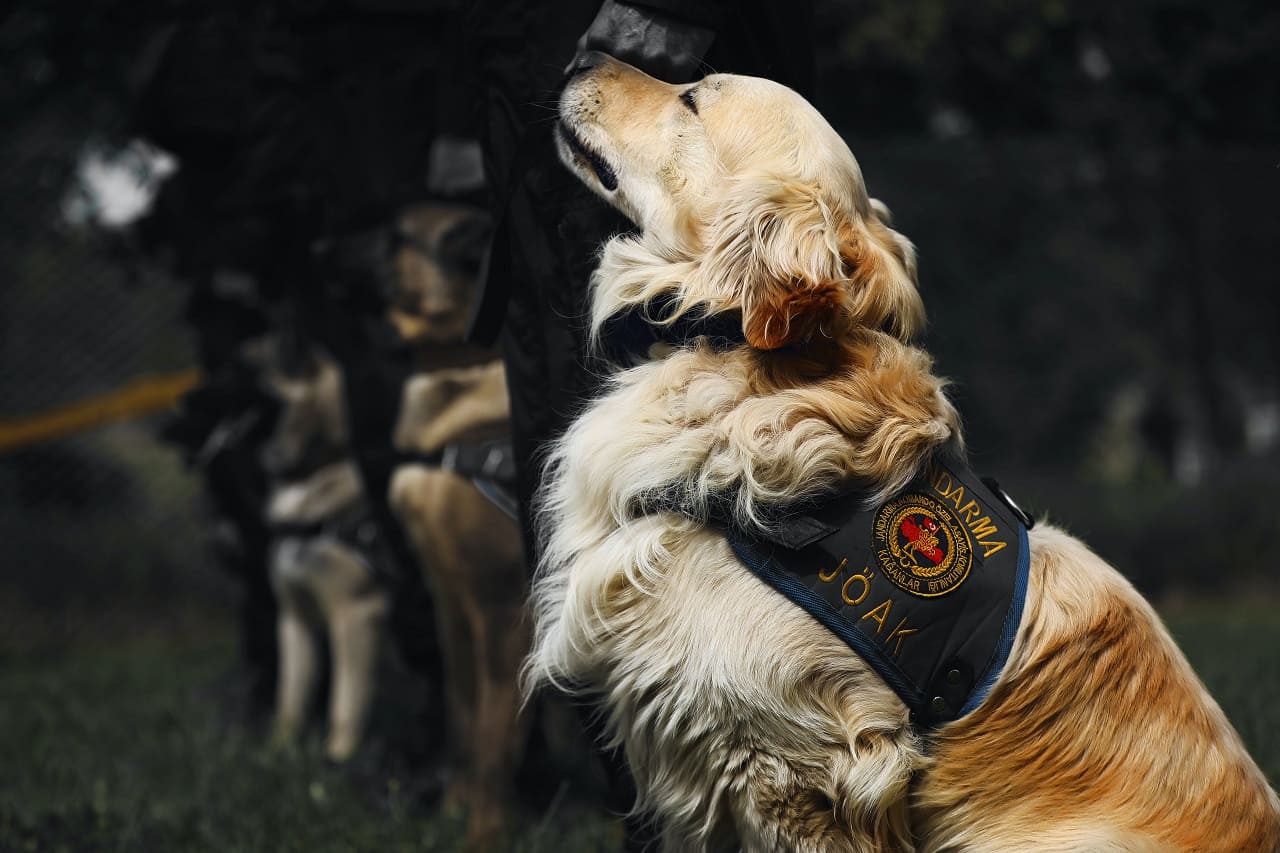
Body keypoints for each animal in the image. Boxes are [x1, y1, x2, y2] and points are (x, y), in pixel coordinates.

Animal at [254, 343, 384, 758]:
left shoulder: (356, 614)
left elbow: (345, 701)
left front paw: (338, 758)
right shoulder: (294, 617)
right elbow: (291, 697)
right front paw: (278, 751)